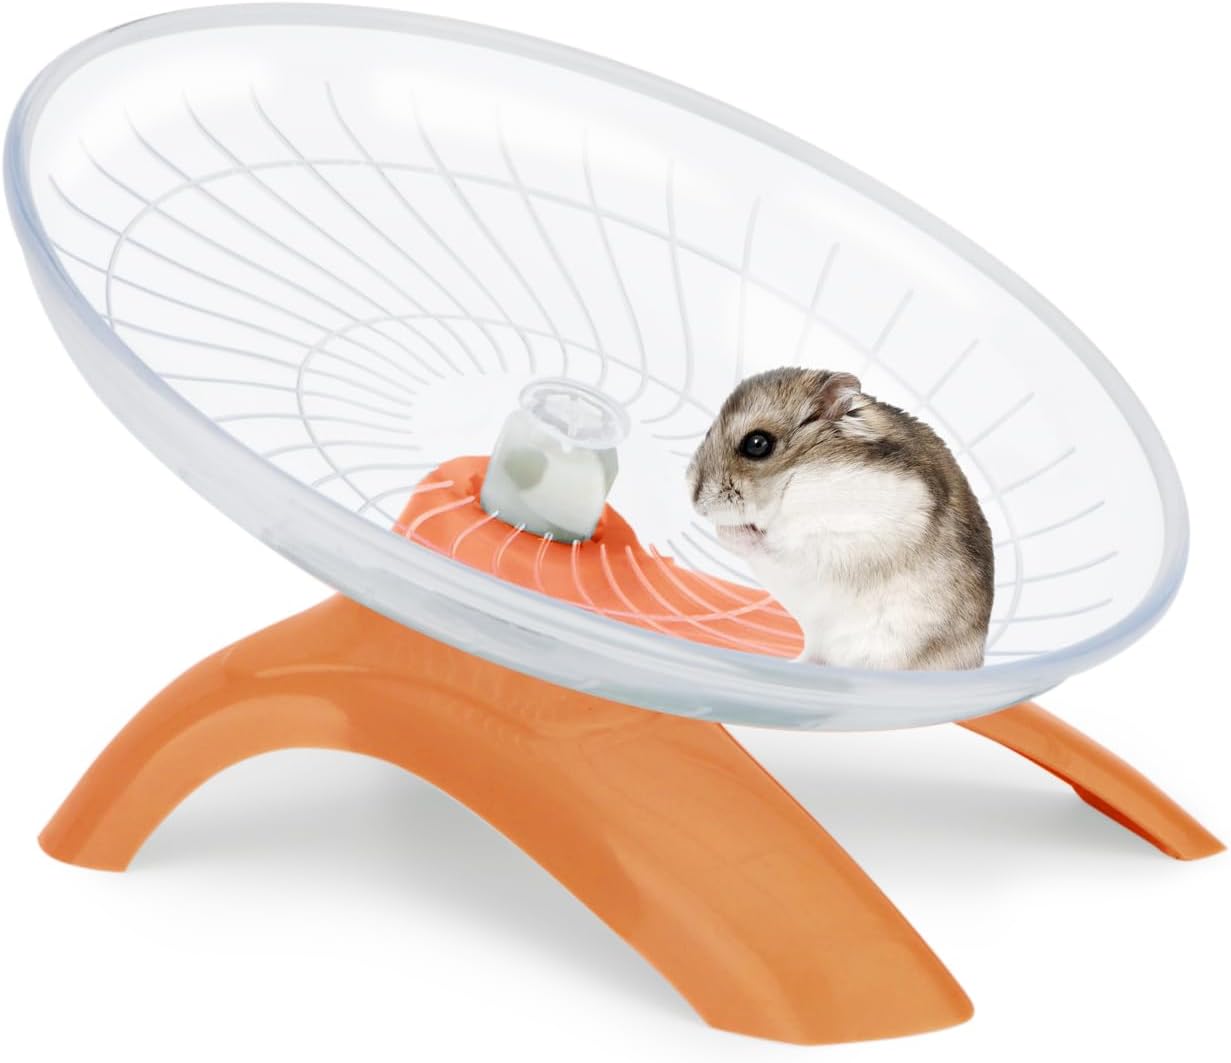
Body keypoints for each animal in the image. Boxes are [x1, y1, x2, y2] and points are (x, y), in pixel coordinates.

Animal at [687, 367, 993, 670]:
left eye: (757, 444)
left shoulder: (847, 536)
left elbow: (775, 543)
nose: (694, 500)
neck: (794, 480)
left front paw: (732, 532)